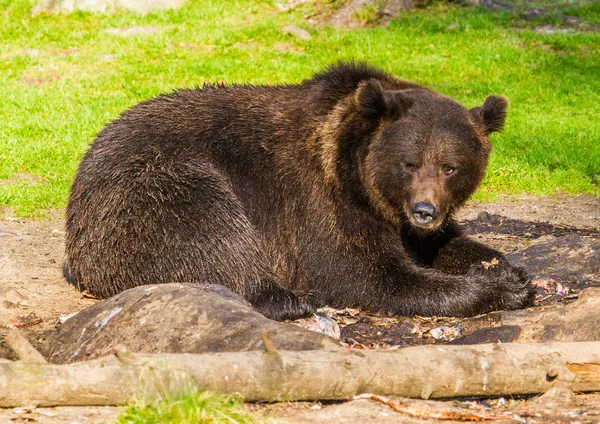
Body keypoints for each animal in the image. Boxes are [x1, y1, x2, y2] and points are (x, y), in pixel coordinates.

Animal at [65, 63, 532, 320]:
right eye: (410, 162)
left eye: (451, 166)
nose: (424, 210)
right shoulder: (317, 200)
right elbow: (366, 274)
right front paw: (500, 289)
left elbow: (445, 244)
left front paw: (505, 268)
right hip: (158, 184)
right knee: (210, 231)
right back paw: (290, 299)